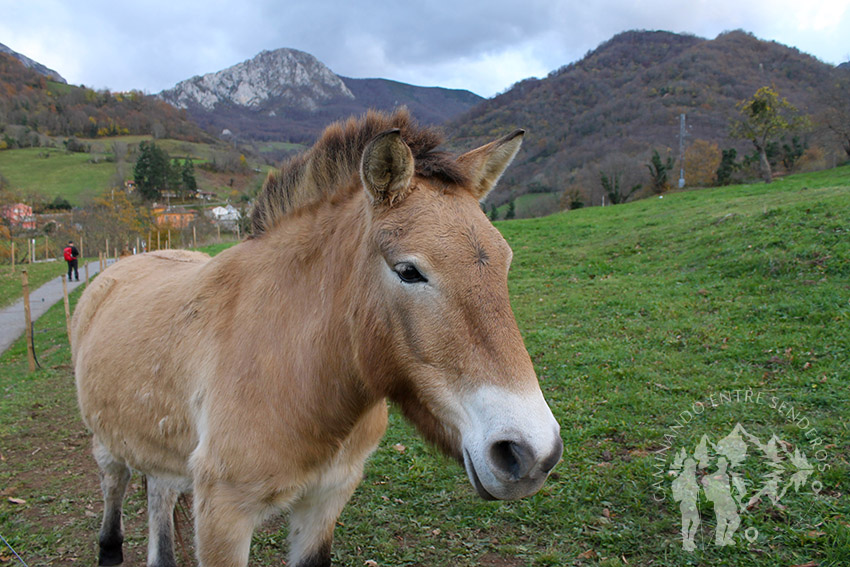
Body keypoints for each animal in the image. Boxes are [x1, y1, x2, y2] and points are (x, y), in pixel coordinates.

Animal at [74, 111, 564, 567]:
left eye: (505, 263)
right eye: (409, 271)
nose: (530, 453)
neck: (296, 370)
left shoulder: (327, 500)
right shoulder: (222, 514)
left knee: (158, 494)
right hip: (107, 444)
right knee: (114, 487)